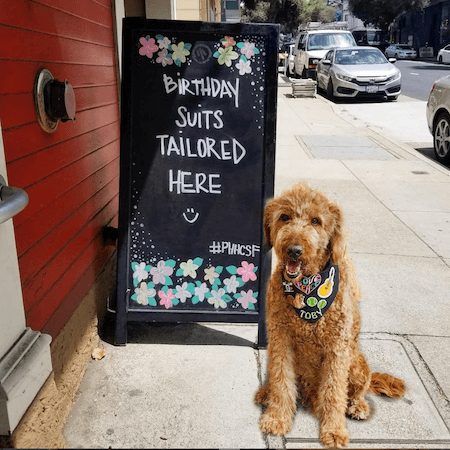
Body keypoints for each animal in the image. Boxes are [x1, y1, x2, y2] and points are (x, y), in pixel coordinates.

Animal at [255, 181, 406, 448]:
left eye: (316, 220)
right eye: (284, 217)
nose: (294, 250)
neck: (307, 288)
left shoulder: (337, 349)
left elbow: (334, 392)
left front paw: (334, 430)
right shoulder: (280, 340)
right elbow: (282, 381)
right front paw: (277, 418)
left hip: (356, 364)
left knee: (358, 390)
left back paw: (358, 406)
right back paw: (266, 392)